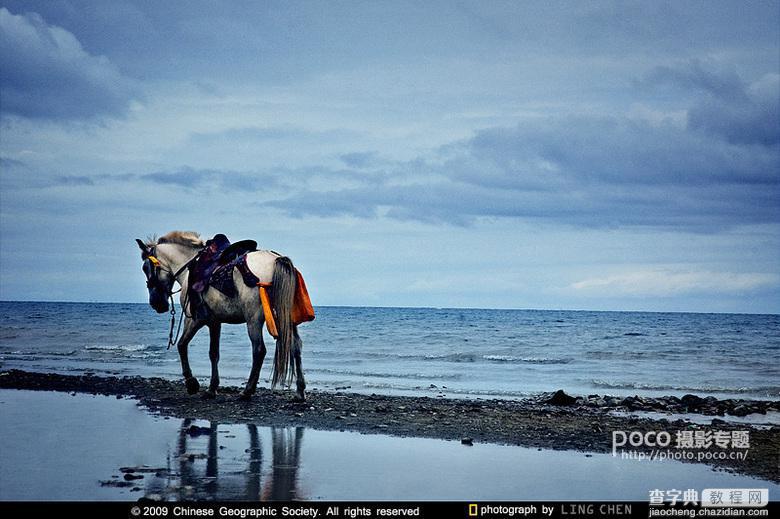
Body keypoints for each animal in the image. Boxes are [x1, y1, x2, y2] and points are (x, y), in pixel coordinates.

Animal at [136, 232, 306, 402]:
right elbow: (214, 354)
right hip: (287, 318)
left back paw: (247, 391)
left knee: (259, 350)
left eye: (145, 267)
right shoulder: (215, 322)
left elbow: (182, 345)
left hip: (254, 319)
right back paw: (299, 391)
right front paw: (212, 388)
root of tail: (277, 259)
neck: (188, 268)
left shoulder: (194, 319)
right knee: (295, 346)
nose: (156, 304)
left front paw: (192, 384)